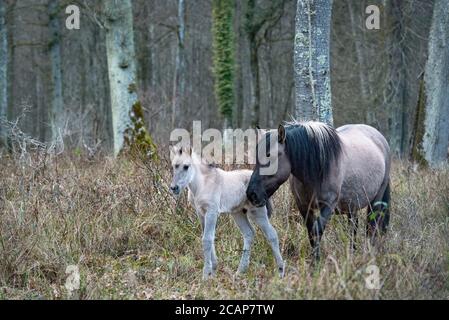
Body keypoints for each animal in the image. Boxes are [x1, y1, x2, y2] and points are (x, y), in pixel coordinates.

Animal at [168, 145, 284, 280]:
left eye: (186, 166)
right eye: (174, 166)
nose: (174, 188)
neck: (202, 185)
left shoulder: (212, 212)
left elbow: (207, 239)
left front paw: (206, 275)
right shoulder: (201, 213)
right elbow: (209, 238)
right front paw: (213, 271)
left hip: (257, 212)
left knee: (272, 235)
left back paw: (281, 272)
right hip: (238, 213)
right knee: (249, 233)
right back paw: (240, 271)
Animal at [245, 121, 388, 262]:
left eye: (270, 156)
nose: (251, 194)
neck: (318, 169)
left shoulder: (329, 205)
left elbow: (317, 230)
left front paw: (316, 262)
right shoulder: (304, 206)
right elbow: (311, 232)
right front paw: (315, 260)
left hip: (376, 200)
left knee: (372, 226)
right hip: (352, 204)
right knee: (353, 227)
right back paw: (352, 253)